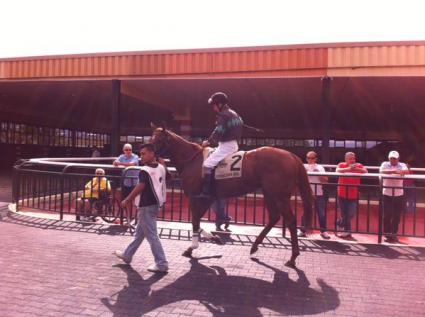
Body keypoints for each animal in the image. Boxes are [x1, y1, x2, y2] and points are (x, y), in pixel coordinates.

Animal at [151, 126, 314, 266]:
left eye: (158, 140)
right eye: (152, 138)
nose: (147, 152)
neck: (192, 159)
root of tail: (292, 156)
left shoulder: (195, 197)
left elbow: (195, 221)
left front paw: (192, 247)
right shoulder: (207, 198)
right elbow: (196, 220)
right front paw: (214, 238)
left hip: (280, 196)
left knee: (291, 220)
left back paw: (292, 257)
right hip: (269, 193)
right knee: (274, 217)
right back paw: (254, 247)